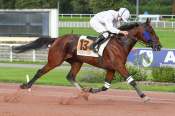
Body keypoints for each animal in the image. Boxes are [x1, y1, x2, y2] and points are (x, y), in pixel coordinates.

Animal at [13, 18, 161, 101]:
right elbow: (132, 81)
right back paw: (26, 85)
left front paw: (90, 90)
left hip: (77, 62)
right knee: (40, 71)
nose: (159, 46)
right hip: (55, 60)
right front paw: (144, 96)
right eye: (151, 32)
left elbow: (105, 87)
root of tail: (57, 39)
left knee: (70, 76)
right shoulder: (119, 66)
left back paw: (83, 93)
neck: (120, 43)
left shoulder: (111, 68)